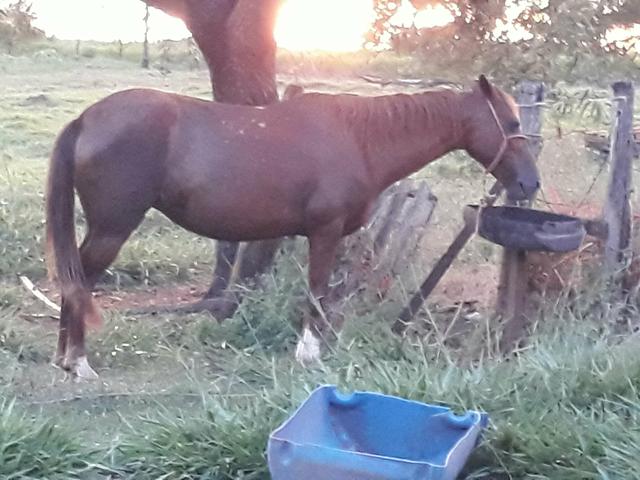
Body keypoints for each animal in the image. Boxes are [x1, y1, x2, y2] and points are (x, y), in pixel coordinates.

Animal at [45, 75, 536, 378]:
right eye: (512, 122)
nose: (530, 184)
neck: (359, 138)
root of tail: (86, 118)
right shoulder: (325, 231)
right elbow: (316, 291)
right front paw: (309, 353)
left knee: (73, 279)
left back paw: (64, 359)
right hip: (113, 228)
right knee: (81, 279)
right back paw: (79, 362)